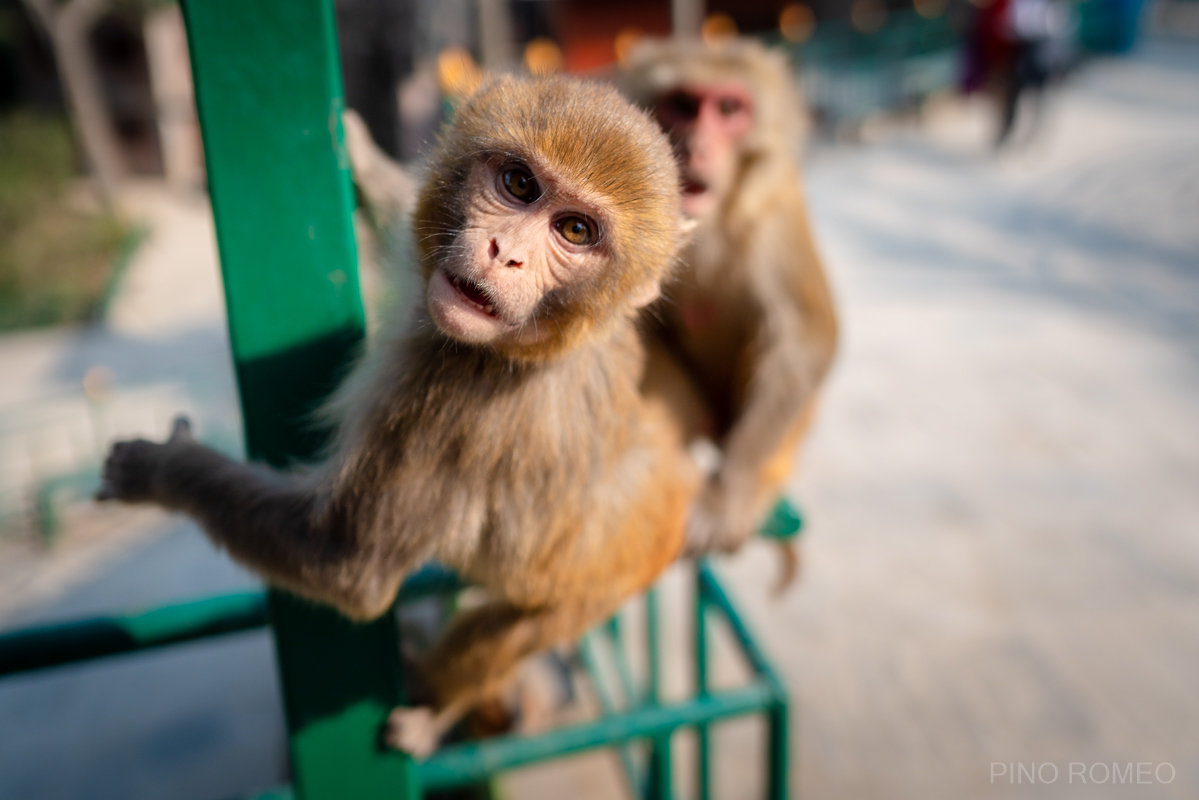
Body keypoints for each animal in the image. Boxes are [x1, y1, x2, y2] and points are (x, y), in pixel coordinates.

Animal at [98, 77, 700, 762]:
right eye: (519, 184)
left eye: (575, 230)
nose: (507, 255)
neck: (526, 352)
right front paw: (363, 157)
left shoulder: (445, 405)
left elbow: (348, 566)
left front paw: (164, 472)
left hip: (600, 586)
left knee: (502, 632)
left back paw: (440, 705)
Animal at [623, 38, 839, 582]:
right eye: (683, 104)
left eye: (728, 109)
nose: (698, 144)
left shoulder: (776, 205)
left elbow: (805, 337)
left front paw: (726, 498)